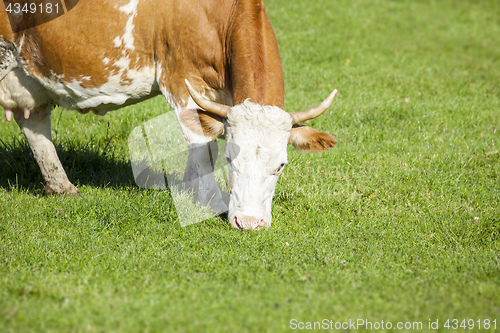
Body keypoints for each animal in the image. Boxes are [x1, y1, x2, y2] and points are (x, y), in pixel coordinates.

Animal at [0, 0, 338, 228]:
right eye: (232, 159)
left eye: (281, 165)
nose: (250, 223)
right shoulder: (178, 77)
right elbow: (203, 148)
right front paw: (212, 202)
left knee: (33, 122)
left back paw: (62, 187)